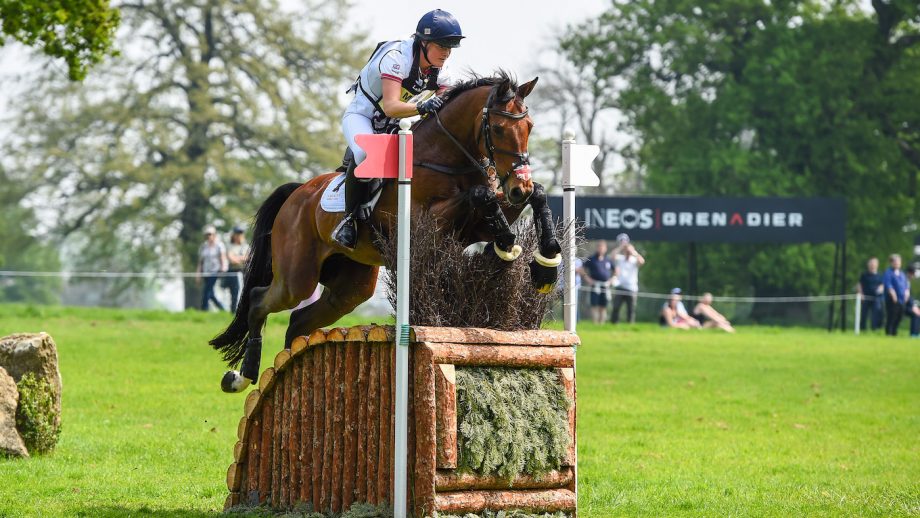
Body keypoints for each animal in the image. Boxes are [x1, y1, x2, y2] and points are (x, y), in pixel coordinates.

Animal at [212, 72, 564, 394]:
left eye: (530, 126)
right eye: (499, 129)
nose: (518, 186)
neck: (446, 156)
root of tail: (297, 194)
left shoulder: (478, 223)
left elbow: (535, 194)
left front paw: (544, 263)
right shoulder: (428, 220)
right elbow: (482, 195)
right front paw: (507, 245)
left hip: (350, 287)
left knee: (300, 320)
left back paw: (288, 366)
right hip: (297, 277)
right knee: (259, 301)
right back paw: (242, 376)